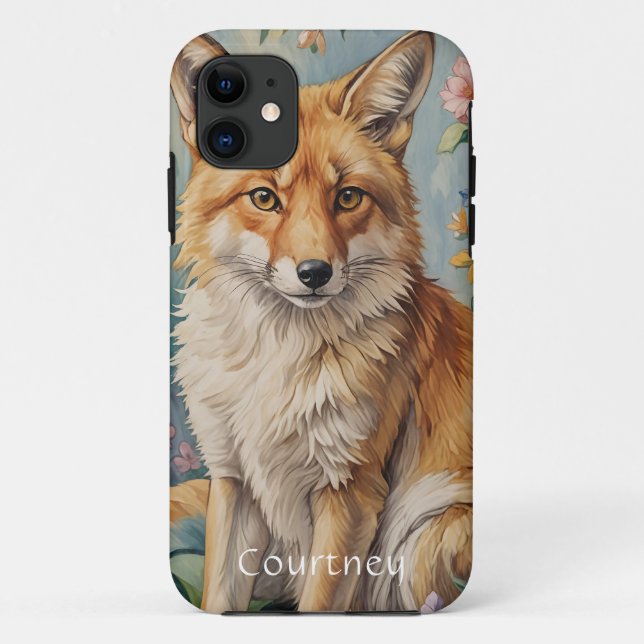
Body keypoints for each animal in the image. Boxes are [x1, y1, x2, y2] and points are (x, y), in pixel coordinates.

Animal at [170, 30, 472, 613]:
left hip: (428, 538)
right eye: (265, 198)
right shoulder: (234, 478)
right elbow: (218, 593)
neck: (276, 365)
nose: (314, 274)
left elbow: (319, 601)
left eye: (348, 196)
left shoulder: (350, 494)